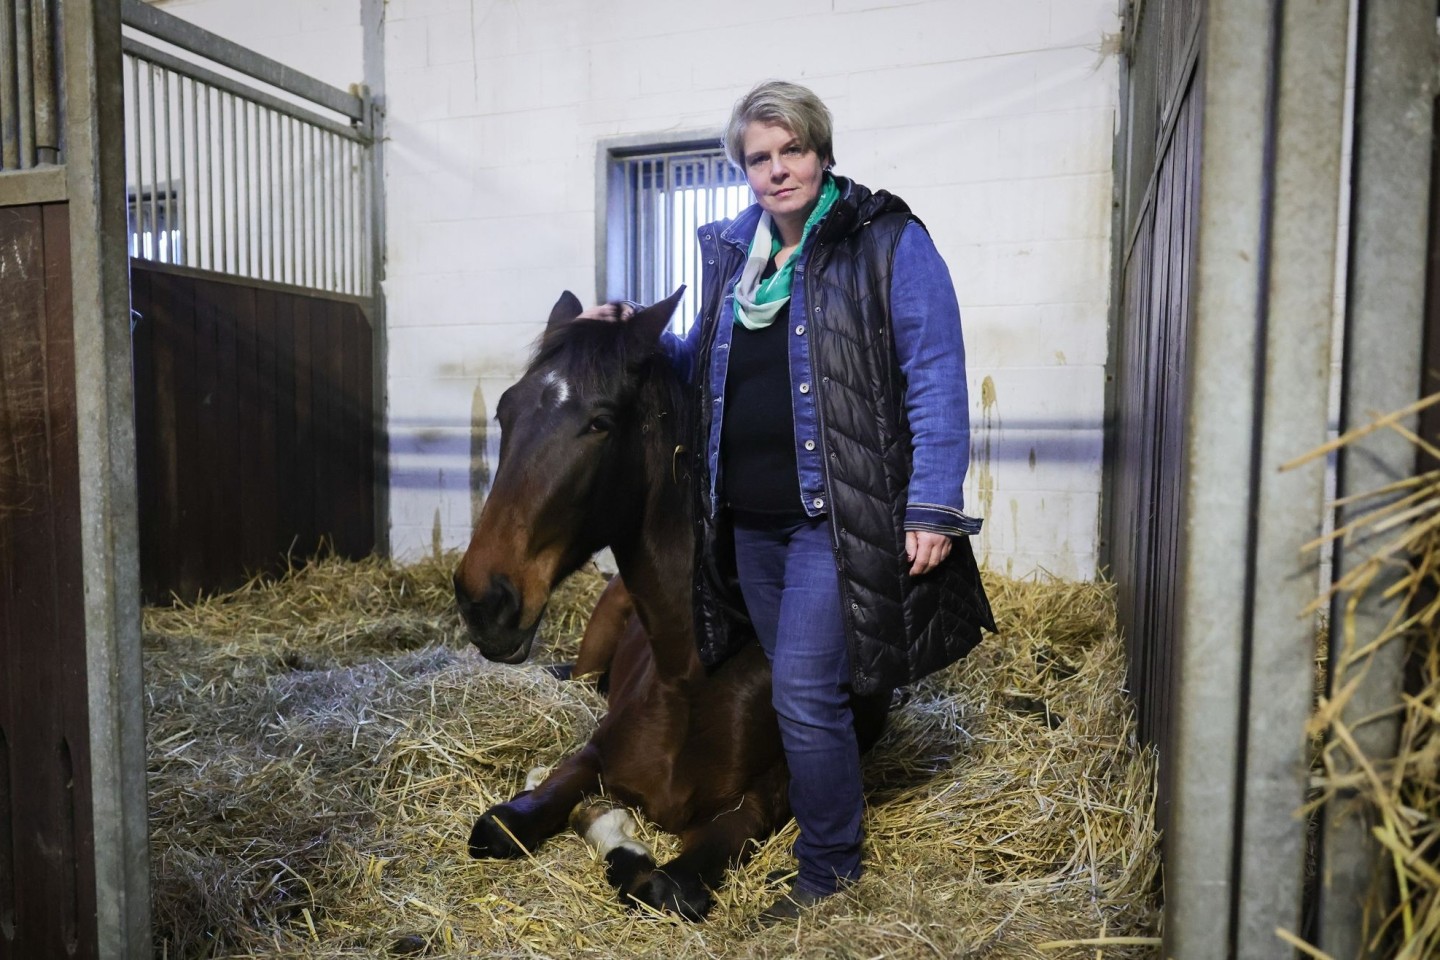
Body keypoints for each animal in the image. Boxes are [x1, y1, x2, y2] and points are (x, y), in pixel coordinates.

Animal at [449, 289, 881, 921]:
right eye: (506, 411)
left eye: (601, 423)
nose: (484, 600)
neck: (691, 674)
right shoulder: (592, 753)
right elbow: (501, 825)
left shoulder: (758, 803)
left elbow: (664, 886)